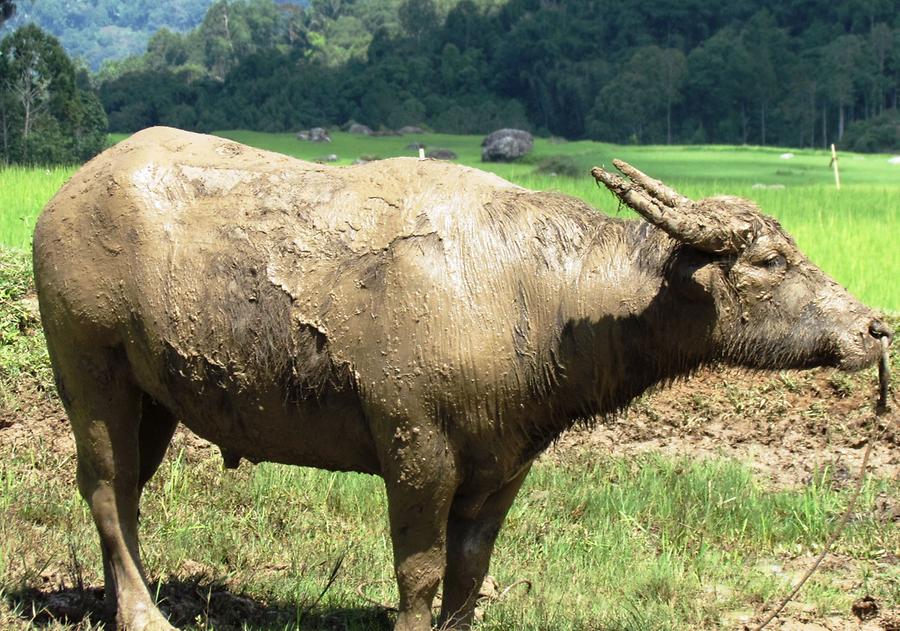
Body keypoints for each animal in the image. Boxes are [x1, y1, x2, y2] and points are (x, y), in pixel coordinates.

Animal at [31, 126, 888, 628]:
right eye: (770, 260)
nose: (876, 327)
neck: (536, 296)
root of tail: (66, 196)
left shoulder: (504, 462)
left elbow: (471, 569)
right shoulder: (416, 447)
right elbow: (419, 571)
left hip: (154, 396)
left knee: (129, 495)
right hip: (89, 370)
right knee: (105, 488)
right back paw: (144, 614)